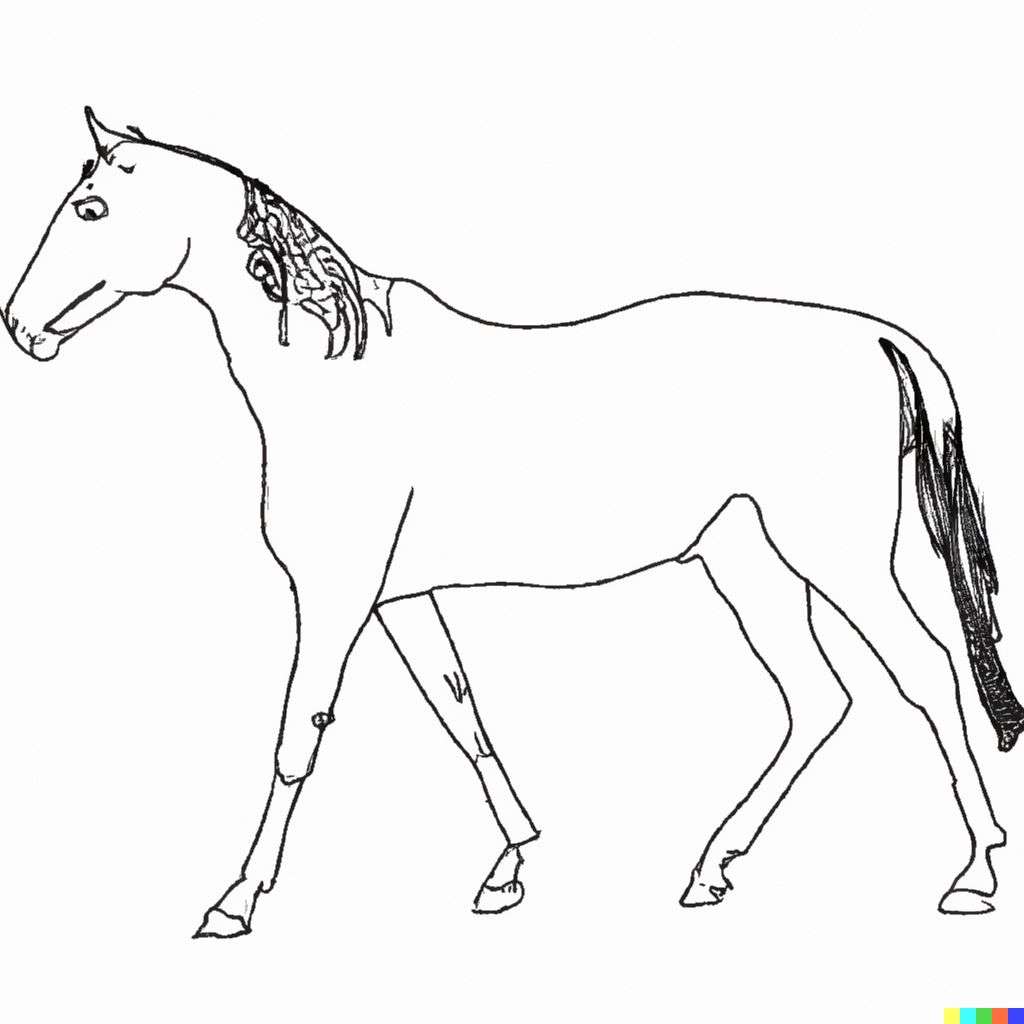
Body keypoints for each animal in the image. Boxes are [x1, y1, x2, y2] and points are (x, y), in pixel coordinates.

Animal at [4, 107, 1020, 937]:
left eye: (89, 210)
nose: (19, 326)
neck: (339, 380)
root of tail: (874, 336)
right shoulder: (399, 597)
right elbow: (464, 715)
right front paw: (509, 867)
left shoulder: (335, 595)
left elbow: (299, 735)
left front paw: (234, 901)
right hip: (747, 563)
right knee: (817, 699)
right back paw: (709, 869)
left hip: (836, 555)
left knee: (926, 673)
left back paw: (973, 873)